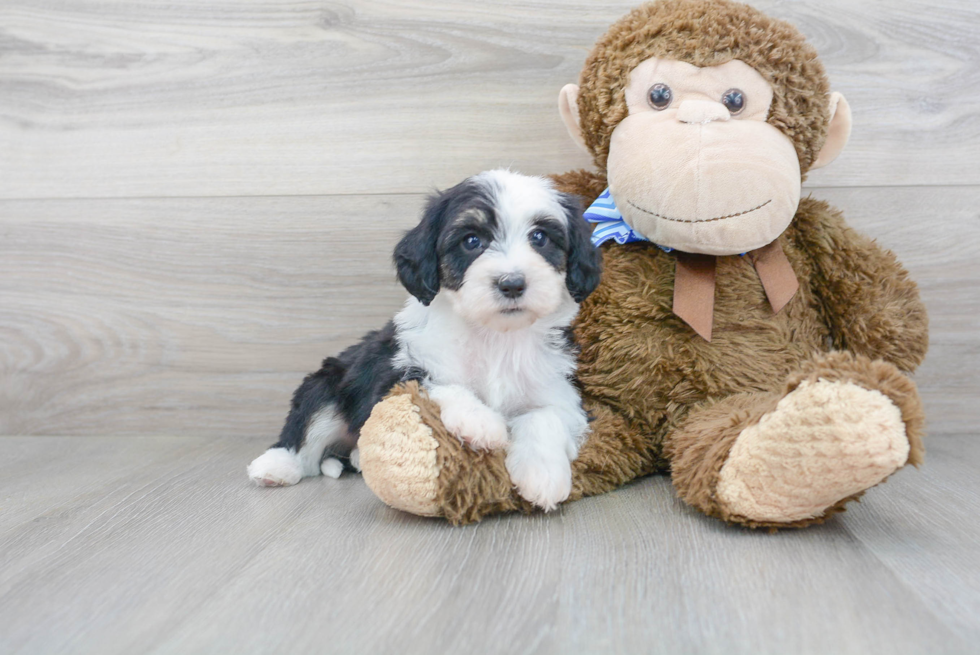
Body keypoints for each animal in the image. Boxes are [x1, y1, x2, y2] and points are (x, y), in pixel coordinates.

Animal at [247, 172, 596, 510]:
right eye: (471, 241)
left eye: (540, 238)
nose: (512, 283)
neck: (494, 336)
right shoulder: (394, 373)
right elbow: (433, 384)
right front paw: (481, 421)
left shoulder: (559, 388)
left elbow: (547, 416)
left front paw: (542, 474)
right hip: (326, 385)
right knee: (305, 433)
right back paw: (275, 467)